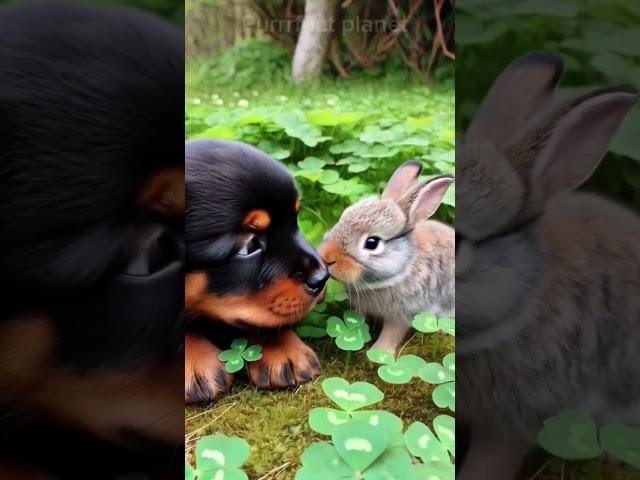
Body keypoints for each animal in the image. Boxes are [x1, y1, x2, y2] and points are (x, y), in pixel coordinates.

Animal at [318, 161, 452, 352]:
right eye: (342, 217)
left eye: (372, 243)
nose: (326, 258)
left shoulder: (402, 314)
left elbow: (392, 334)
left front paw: (377, 352)